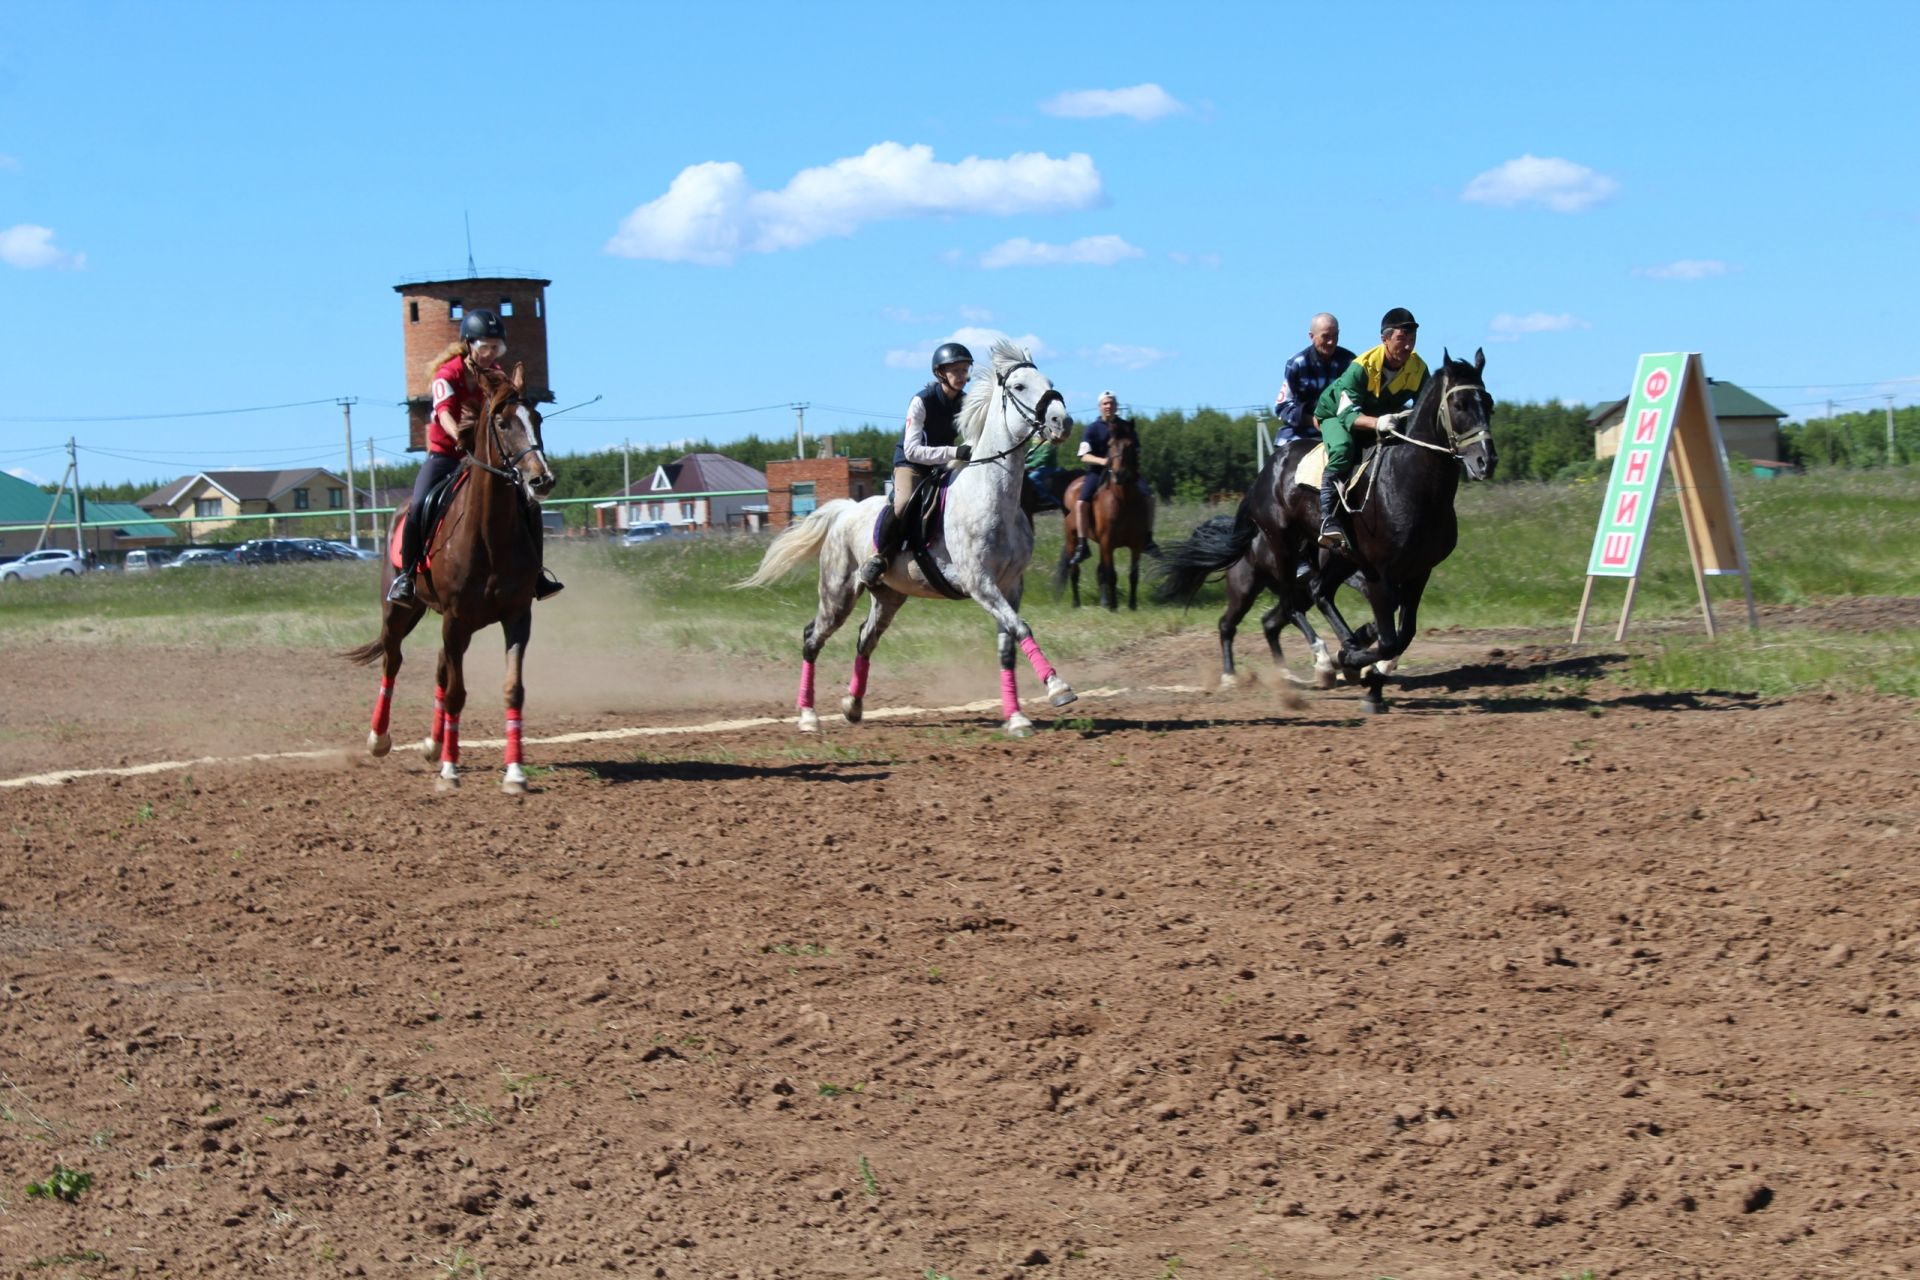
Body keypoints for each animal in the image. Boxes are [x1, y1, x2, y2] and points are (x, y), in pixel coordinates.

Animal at [343, 360, 556, 794]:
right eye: (503, 422)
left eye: (538, 418)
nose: (541, 479)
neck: (489, 533)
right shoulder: (455, 618)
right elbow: (457, 693)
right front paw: (450, 770)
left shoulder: (516, 616)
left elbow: (513, 690)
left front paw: (515, 772)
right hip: (400, 612)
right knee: (393, 661)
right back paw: (380, 739)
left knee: (441, 666)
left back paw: (433, 743)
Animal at [737, 339, 1082, 740]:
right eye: (1019, 387)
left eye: (1049, 382)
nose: (1062, 422)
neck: (992, 494)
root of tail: (844, 511)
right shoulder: (980, 583)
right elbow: (1021, 627)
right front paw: (1058, 688)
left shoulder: (1010, 585)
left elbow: (1008, 644)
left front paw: (1016, 717)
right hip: (838, 592)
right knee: (812, 637)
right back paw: (808, 716)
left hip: (889, 596)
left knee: (865, 638)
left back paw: (853, 706)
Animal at [1152, 351, 1497, 710]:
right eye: (1458, 404)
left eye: (1489, 403)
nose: (1486, 461)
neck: (1408, 485)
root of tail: (1264, 474)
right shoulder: (1378, 575)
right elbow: (1389, 639)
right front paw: (1356, 664)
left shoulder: (1418, 572)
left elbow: (1404, 634)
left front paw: (1369, 674)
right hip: (1273, 558)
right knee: (1266, 613)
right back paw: (1302, 665)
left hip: (1336, 559)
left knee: (1308, 600)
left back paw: (1315, 663)